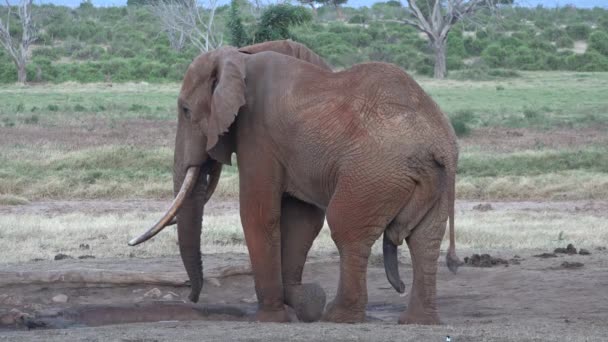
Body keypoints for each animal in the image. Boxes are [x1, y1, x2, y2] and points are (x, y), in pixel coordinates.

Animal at [129, 38, 460, 324]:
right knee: (425, 240)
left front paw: (272, 318)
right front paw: (304, 301)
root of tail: (436, 143)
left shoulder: (257, 132)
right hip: (435, 179)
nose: (193, 298)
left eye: (186, 110)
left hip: (373, 172)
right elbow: (302, 218)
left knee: (347, 230)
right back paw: (417, 321)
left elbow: (258, 214)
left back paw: (338, 317)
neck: (242, 54)